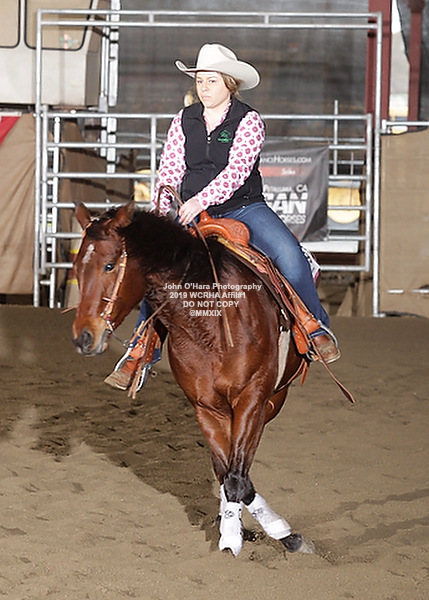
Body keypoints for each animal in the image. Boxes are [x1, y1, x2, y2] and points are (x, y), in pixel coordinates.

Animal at [72, 201, 315, 557]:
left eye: (108, 265)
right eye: (77, 267)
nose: (84, 337)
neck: (210, 321)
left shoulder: (252, 398)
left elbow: (237, 476)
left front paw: (255, 536)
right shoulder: (206, 406)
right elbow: (228, 473)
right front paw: (235, 529)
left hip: (272, 400)